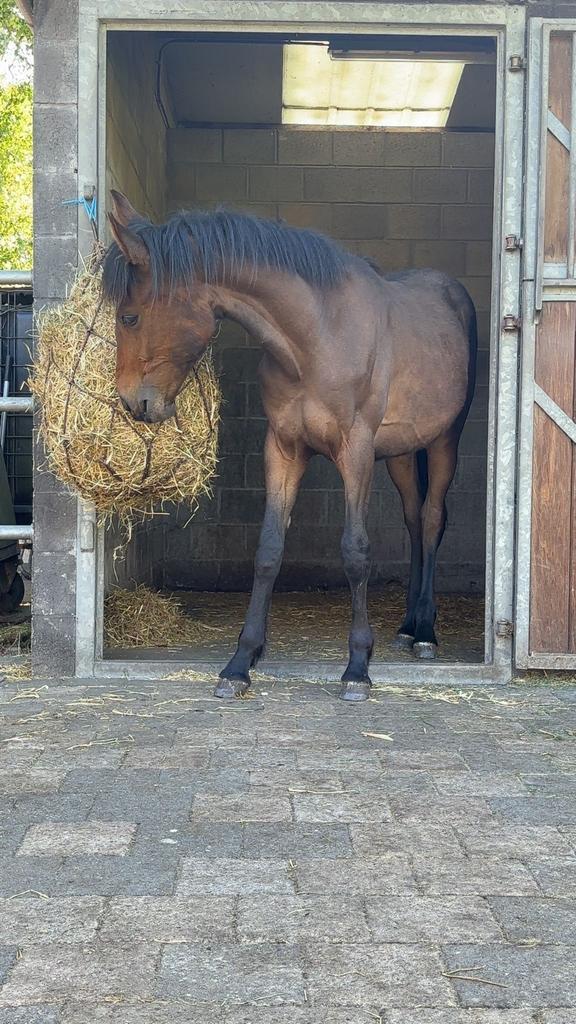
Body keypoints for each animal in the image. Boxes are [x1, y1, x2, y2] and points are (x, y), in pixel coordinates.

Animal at [103, 190, 477, 702]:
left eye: (130, 316)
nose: (132, 403)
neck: (317, 336)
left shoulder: (355, 451)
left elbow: (355, 552)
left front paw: (357, 668)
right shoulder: (282, 448)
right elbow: (268, 550)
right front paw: (240, 663)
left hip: (444, 440)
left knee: (434, 519)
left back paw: (425, 633)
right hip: (401, 453)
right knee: (415, 520)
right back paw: (407, 626)